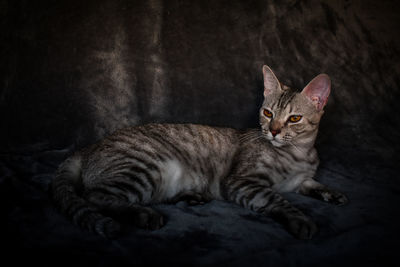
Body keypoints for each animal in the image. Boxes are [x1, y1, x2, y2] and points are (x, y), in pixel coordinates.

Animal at [51, 65, 346, 241]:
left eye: (294, 118)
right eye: (267, 113)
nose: (272, 131)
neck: (299, 155)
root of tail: (89, 147)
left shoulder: (300, 179)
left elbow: (310, 183)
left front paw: (331, 193)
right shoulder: (242, 182)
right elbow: (277, 199)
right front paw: (300, 218)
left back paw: (191, 196)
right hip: (145, 167)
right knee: (95, 196)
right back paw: (144, 215)